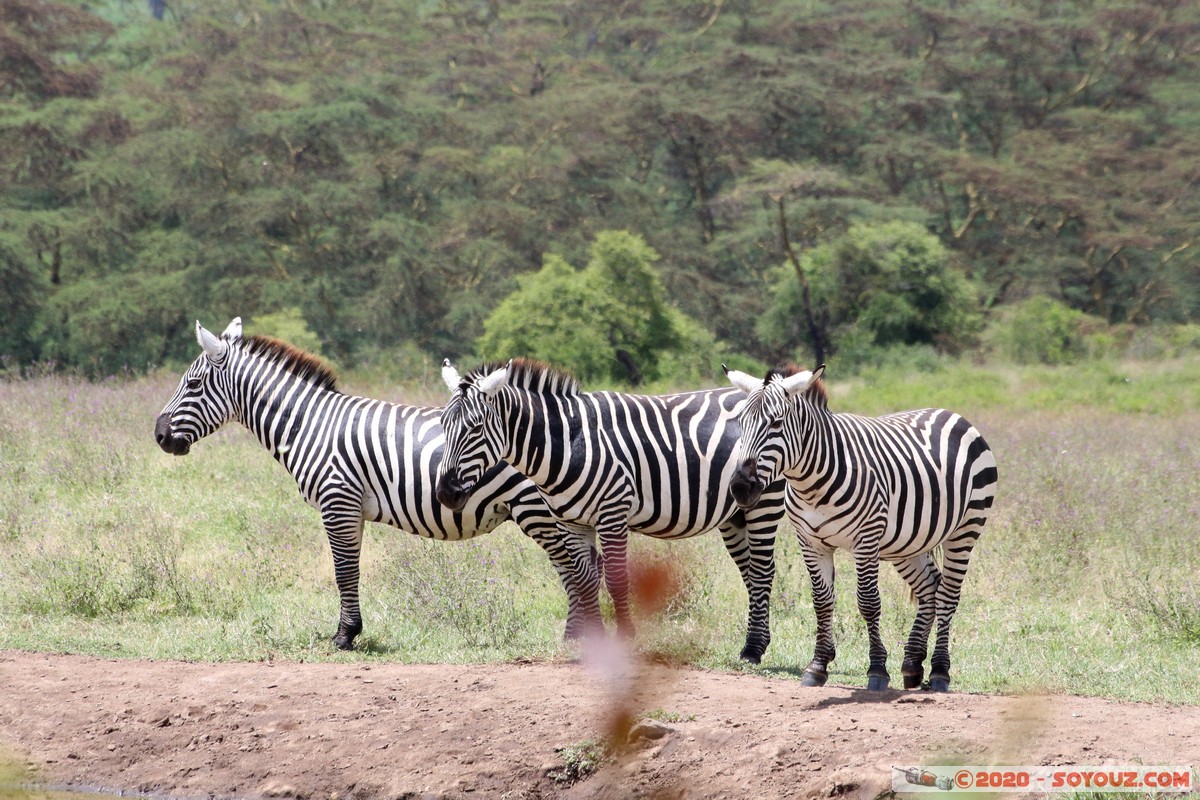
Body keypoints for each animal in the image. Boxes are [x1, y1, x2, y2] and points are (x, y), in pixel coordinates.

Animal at [152, 319, 600, 652]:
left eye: (192, 385)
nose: (159, 435)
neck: (309, 425)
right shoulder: (352, 509)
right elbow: (351, 568)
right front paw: (350, 630)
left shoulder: (337, 501)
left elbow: (343, 570)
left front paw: (344, 636)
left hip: (539, 510)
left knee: (576, 568)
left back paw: (576, 639)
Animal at [436, 357, 792, 662]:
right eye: (442, 424)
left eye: (476, 427)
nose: (445, 493)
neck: (568, 444)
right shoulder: (570, 522)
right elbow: (584, 579)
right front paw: (595, 641)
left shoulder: (612, 512)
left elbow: (617, 578)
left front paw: (625, 638)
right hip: (735, 515)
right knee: (751, 573)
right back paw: (756, 642)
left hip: (764, 501)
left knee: (762, 571)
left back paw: (753, 649)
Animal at [720, 362, 993, 690]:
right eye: (741, 424)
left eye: (776, 423)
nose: (740, 488)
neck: (811, 483)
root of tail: (950, 413)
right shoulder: (810, 541)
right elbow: (822, 602)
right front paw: (817, 667)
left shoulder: (867, 538)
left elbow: (868, 602)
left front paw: (877, 670)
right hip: (908, 542)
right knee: (931, 586)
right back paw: (913, 665)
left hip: (966, 529)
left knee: (949, 593)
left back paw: (939, 671)